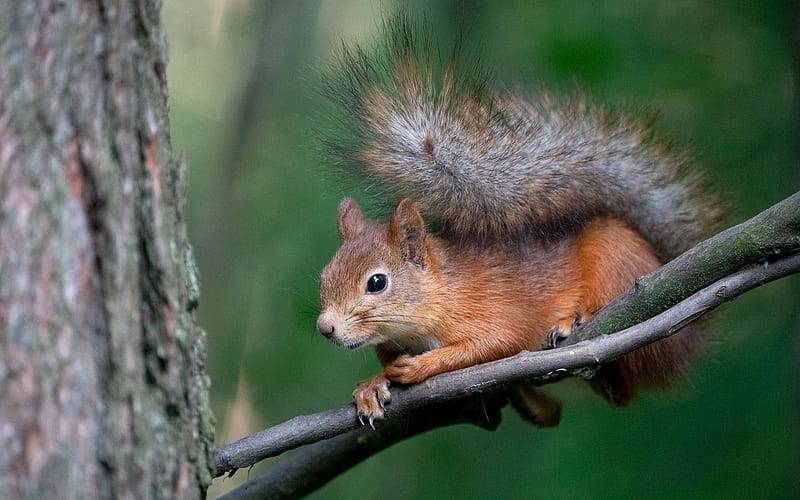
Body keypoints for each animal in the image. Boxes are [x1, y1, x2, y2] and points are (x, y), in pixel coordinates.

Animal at [316, 17, 720, 428]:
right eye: (324, 275)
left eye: (377, 282)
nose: (325, 328)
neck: (443, 289)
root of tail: (687, 340)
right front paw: (372, 385)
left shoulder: (495, 311)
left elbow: (498, 342)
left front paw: (420, 366)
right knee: (563, 411)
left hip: (614, 256)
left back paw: (576, 323)